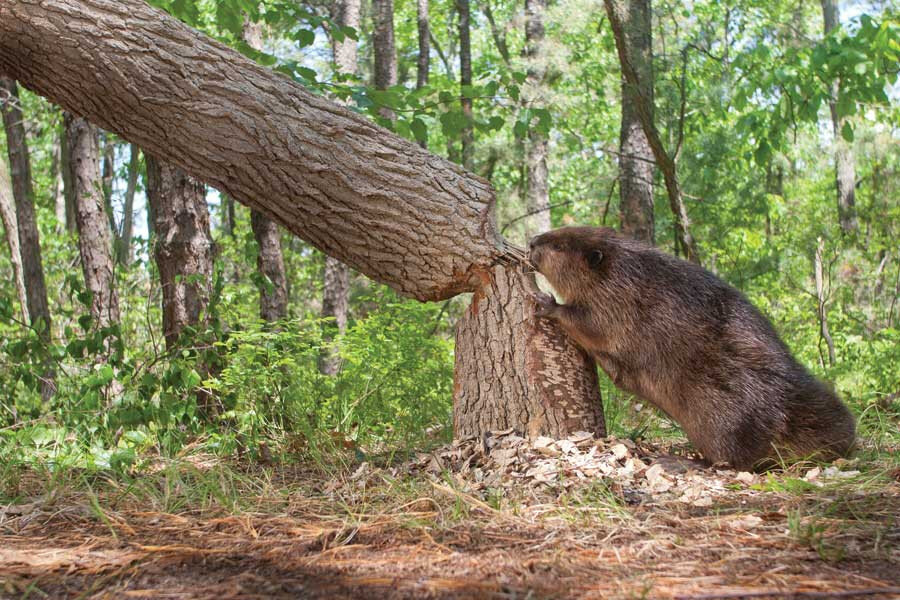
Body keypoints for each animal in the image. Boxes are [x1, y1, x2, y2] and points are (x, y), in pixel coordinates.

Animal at [528, 225, 856, 468]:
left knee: (731, 461)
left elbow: (591, 324)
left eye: (559, 246)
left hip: (720, 414)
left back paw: (676, 460)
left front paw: (546, 302)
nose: (532, 242)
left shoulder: (618, 301)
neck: (622, 268)